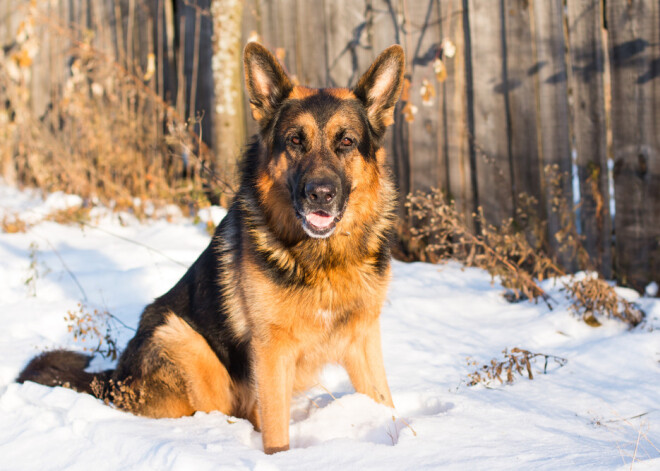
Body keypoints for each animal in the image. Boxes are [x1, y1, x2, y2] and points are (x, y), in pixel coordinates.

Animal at [18, 42, 404, 456]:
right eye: (295, 141)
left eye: (346, 141)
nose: (320, 194)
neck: (324, 259)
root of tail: (116, 377)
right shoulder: (271, 351)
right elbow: (276, 433)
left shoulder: (364, 340)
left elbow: (386, 404)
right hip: (182, 338)